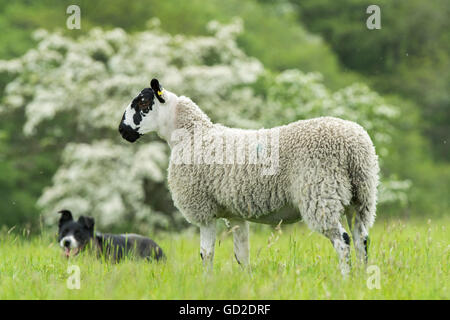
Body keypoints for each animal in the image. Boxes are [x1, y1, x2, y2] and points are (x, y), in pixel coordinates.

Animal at [118, 79, 378, 276]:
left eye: (143, 102)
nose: (122, 130)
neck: (192, 135)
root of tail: (353, 146)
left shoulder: (203, 209)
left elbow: (206, 254)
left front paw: (206, 283)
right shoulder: (235, 215)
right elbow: (241, 255)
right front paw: (246, 282)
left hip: (320, 192)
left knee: (343, 241)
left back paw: (344, 280)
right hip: (360, 196)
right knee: (361, 239)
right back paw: (361, 279)